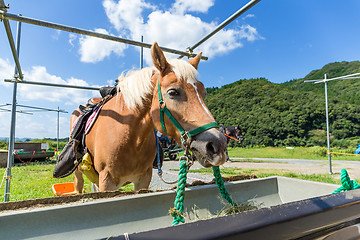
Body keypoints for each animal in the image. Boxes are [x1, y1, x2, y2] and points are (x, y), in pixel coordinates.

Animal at [71, 42, 228, 193]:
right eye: (173, 92)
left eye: (204, 93)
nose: (218, 145)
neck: (130, 138)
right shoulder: (106, 182)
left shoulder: (143, 179)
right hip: (79, 175)